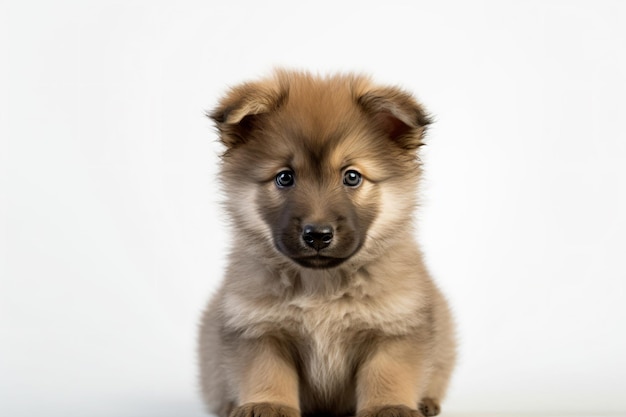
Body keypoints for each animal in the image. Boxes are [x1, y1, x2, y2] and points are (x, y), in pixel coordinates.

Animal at [199, 69, 454, 416]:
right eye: (285, 177)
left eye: (352, 176)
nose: (317, 234)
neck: (322, 286)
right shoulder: (258, 328)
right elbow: (266, 371)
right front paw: (267, 404)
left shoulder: (394, 327)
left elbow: (387, 372)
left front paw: (388, 407)